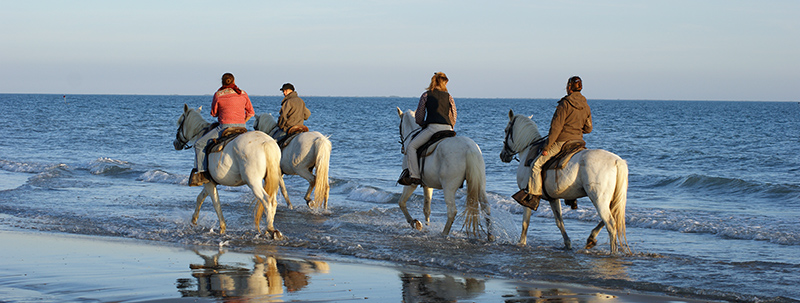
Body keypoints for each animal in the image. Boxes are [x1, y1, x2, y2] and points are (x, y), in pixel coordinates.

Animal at [173, 104, 284, 240]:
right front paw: (194, 220)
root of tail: (266, 143)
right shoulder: (210, 182)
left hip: (254, 182)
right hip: (273, 179)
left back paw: (270, 229)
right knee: (273, 201)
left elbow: (216, 203)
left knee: (266, 200)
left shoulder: (209, 183)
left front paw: (222, 228)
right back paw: (271, 228)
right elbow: (201, 197)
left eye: (180, 122)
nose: (175, 143)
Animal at [396, 108, 490, 241]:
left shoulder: (411, 183)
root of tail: (469, 148)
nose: (403, 149)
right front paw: (426, 226)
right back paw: (491, 236)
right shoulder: (427, 185)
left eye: (400, 126)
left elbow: (401, 202)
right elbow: (427, 209)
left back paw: (444, 234)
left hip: (449, 188)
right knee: (486, 207)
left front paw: (414, 223)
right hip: (480, 184)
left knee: (452, 212)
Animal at [500, 110, 632, 254]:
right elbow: (559, 222)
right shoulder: (553, 198)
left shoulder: (528, 195)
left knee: (611, 224)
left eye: (506, 130)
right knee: (613, 217)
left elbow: (526, 222)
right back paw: (591, 239)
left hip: (599, 199)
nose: (503, 155)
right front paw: (567, 244)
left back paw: (612, 251)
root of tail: (617, 161)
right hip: (612, 199)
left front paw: (521, 243)